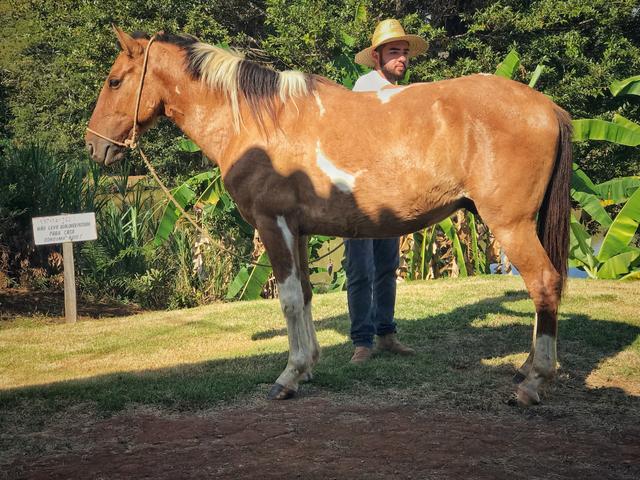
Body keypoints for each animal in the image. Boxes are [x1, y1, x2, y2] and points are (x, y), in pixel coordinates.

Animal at [86, 27, 572, 406]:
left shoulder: (274, 225)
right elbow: (304, 295)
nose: (94, 146)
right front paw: (308, 367)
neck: (258, 122)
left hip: (510, 226)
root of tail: (547, 107)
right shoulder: (298, 231)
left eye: (114, 81)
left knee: (543, 283)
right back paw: (526, 367)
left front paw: (288, 376)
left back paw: (533, 383)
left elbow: (287, 299)